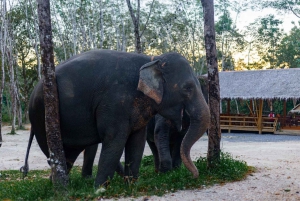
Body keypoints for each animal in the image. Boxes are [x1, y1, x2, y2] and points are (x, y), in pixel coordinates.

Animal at [21, 49, 210, 188]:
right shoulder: (114, 102)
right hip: (41, 115)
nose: (195, 176)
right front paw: (100, 189)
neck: (152, 59)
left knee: (69, 154)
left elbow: (137, 140)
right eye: (187, 88)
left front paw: (132, 184)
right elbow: (115, 139)